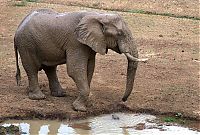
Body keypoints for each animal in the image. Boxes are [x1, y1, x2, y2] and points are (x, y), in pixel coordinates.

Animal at [14, 8, 147, 112]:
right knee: (32, 68)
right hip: (26, 44)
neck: (99, 15)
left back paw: (60, 94)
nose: (123, 100)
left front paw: (87, 101)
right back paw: (38, 97)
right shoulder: (76, 42)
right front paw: (80, 108)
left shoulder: (90, 43)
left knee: (50, 69)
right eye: (119, 34)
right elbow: (75, 70)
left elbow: (90, 68)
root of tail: (18, 28)